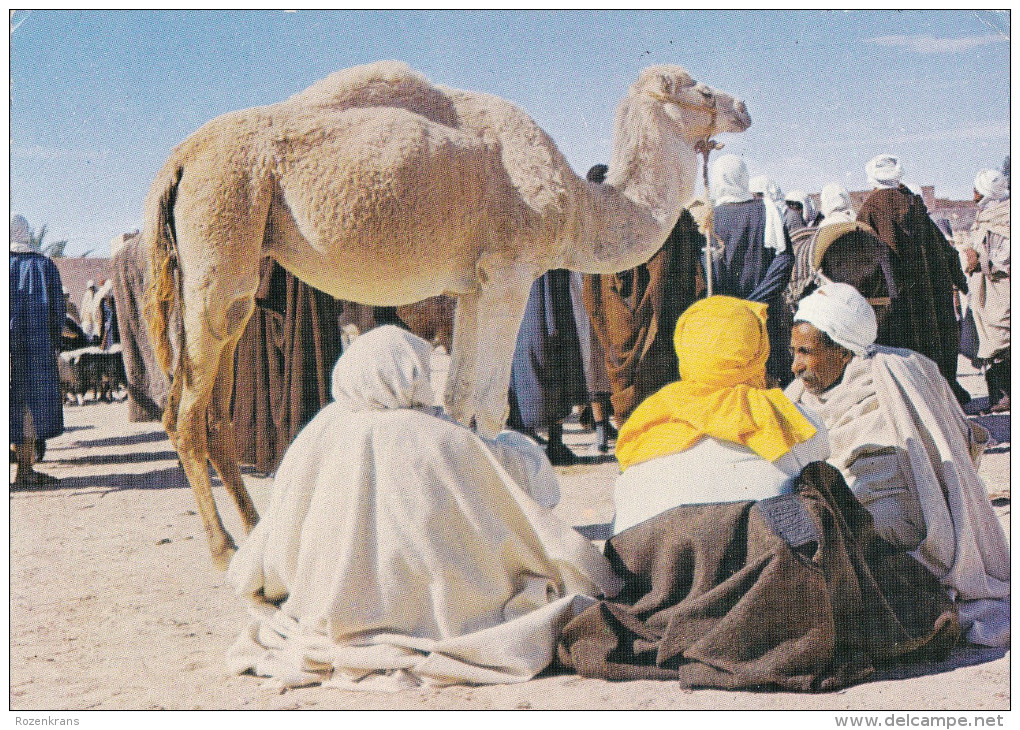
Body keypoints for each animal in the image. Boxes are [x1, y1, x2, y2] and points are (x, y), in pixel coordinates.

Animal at [143, 59, 750, 566]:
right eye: (701, 89)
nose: (743, 107)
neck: (578, 207)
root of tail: (181, 158)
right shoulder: (511, 272)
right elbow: (490, 406)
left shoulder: (472, 286)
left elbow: (460, 403)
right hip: (223, 234)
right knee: (184, 413)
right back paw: (223, 550)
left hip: (235, 269)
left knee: (213, 411)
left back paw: (254, 531)